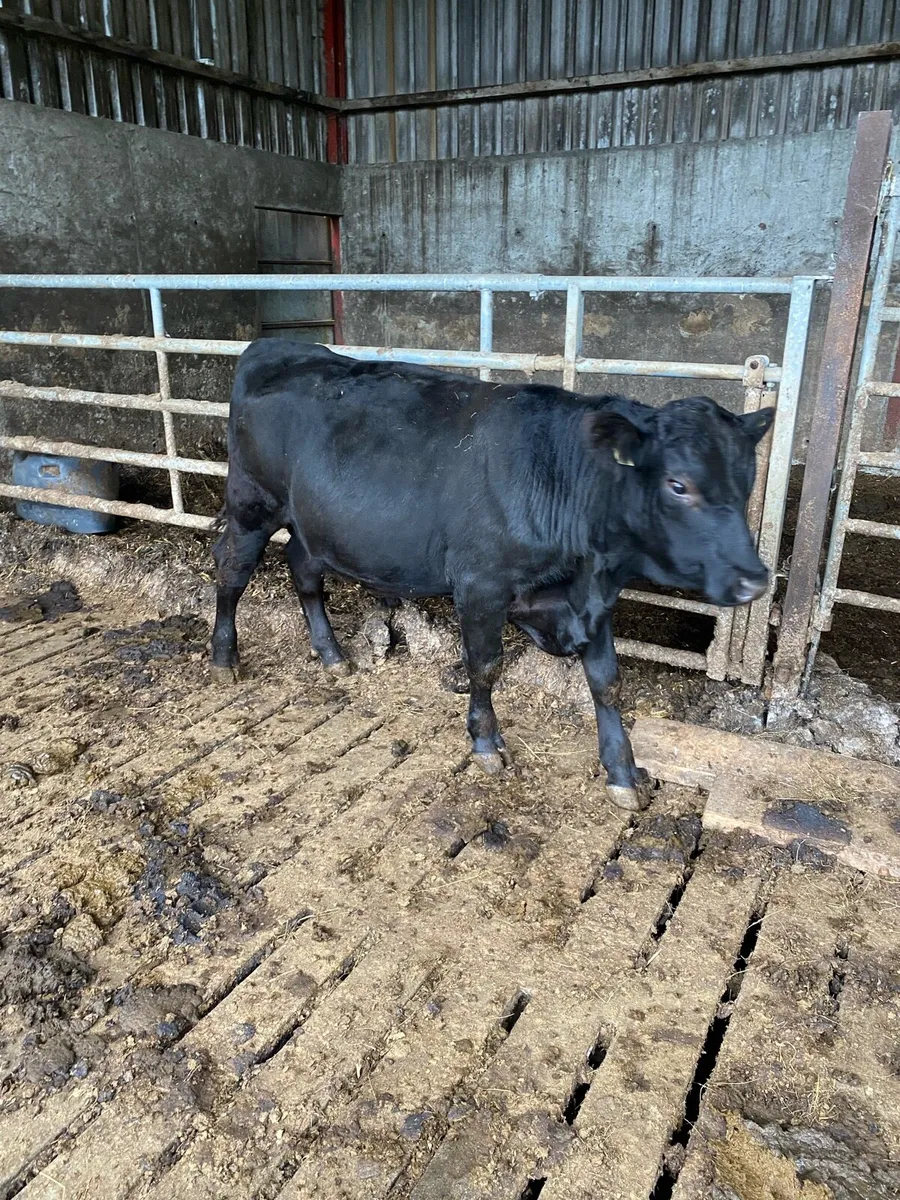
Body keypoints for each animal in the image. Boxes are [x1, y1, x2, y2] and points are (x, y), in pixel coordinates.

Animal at [211, 341, 773, 811]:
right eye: (678, 485)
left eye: (747, 480)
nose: (754, 579)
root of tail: (271, 346)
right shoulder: (481, 586)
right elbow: (484, 667)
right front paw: (485, 742)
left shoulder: (594, 600)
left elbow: (607, 682)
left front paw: (622, 773)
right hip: (251, 505)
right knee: (232, 572)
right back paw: (224, 657)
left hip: (312, 524)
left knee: (302, 569)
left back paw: (331, 654)